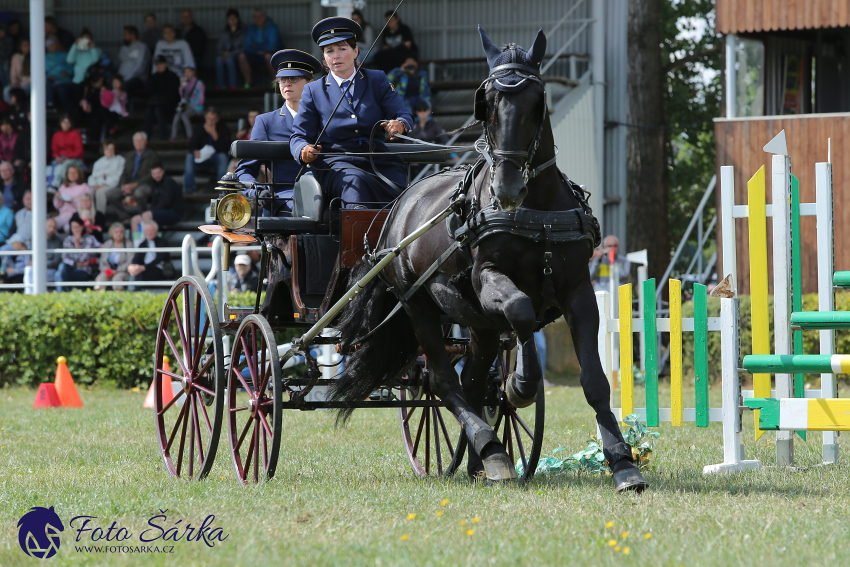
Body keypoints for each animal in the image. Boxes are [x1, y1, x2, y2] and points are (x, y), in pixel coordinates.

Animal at [328, 27, 644, 492]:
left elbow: (594, 380)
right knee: (443, 380)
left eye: (536, 101)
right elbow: (522, 309)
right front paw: (521, 384)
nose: (507, 187)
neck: (535, 211)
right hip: (419, 305)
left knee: (473, 382)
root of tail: (397, 206)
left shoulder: (579, 290)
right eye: (487, 103)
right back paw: (492, 449)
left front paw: (623, 462)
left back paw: (484, 459)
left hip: (476, 323)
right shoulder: (488, 280)